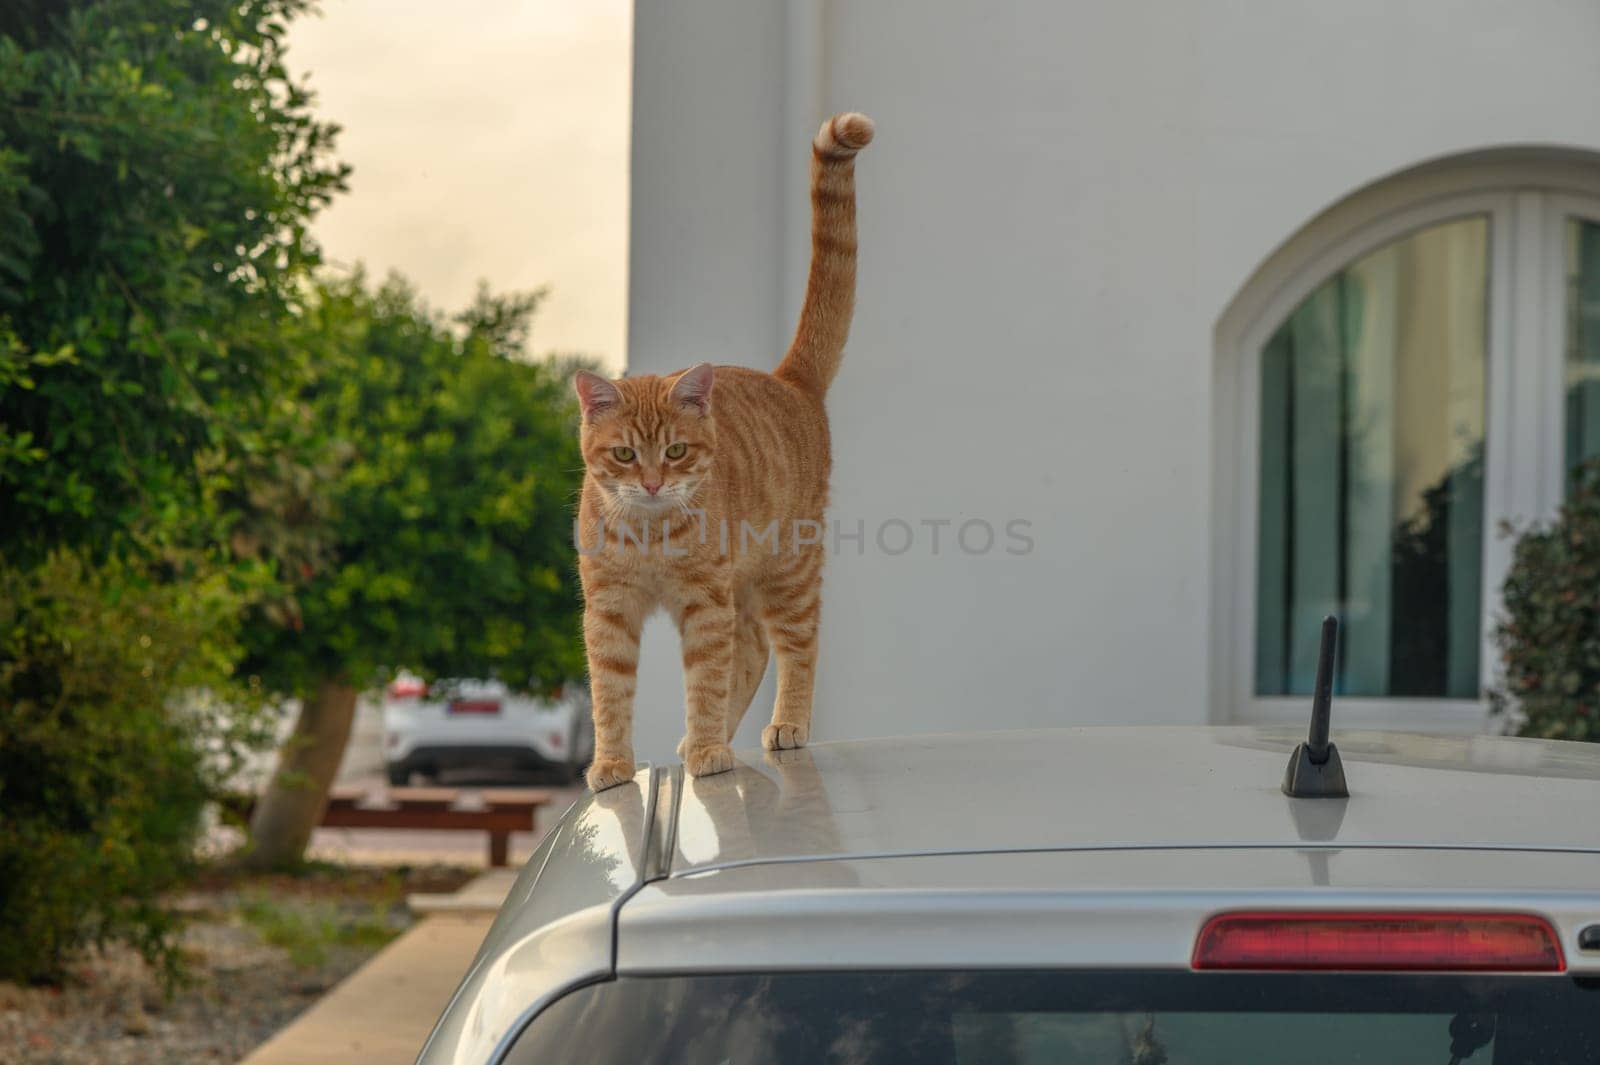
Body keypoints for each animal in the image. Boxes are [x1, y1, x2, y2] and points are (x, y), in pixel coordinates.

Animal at [572, 109, 876, 786]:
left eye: (677, 452)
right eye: (625, 455)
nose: (653, 483)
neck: (651, 532)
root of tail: (789, 378)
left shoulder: (704, 604)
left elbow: (706, 680)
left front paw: (710, 751)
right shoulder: (610, 610)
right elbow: (610, 695)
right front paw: (613, 762)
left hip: (789, 570)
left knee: (795, 646)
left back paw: (782, 726)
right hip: (751, 583)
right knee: (757, 648)